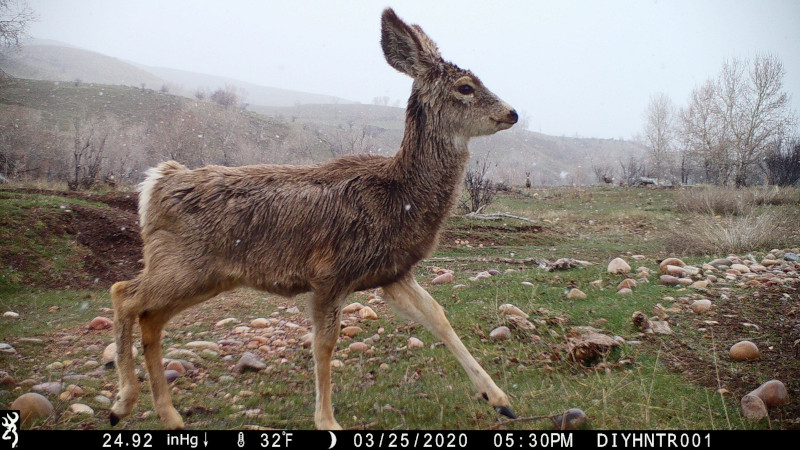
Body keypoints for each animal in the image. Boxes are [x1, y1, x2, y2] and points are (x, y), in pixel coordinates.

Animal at [109, 8, 518, 430]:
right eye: (466, 87)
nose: (512, 112)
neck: (399, 196)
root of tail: (155, 184)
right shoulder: (329, 273)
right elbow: (324, 344)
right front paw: (327, 420)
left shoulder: (392, 272)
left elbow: (438, 316)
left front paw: (499, 399)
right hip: (182, 264)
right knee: (123, 294)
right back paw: (121, 403)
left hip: (205, 275)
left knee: (150, 317)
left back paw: (169, 414)